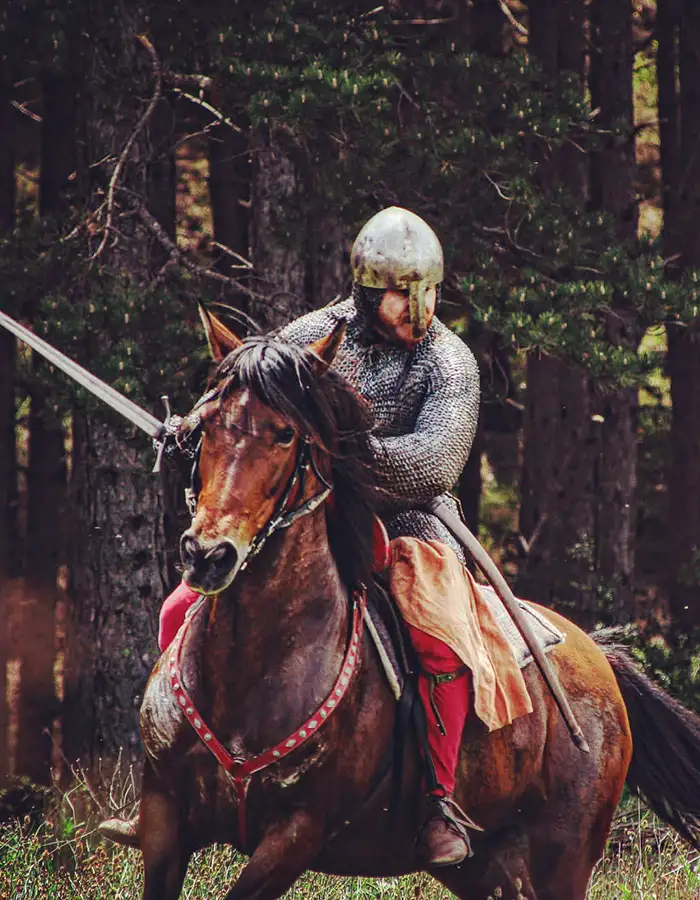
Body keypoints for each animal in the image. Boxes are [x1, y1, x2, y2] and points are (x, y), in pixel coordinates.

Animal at [138, 318, 700, 900]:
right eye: (206, 425)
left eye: (285, 433)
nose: (208, 555)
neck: (252, 666)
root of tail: (598, 659)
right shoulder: (163, 815)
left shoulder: (295, 835)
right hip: (488, 869)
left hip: (562, 863)